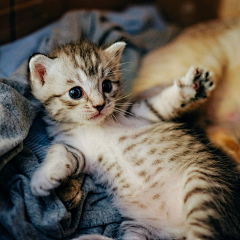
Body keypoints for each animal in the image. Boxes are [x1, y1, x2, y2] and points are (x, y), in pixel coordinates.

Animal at [29, 40, 240, 239]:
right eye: (75, 92)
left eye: (106, 86)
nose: (99, 105)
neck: (95, 126)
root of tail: (176, 229)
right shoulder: (80, 152)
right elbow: (60, 150)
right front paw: (45, 177)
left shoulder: (141, 114)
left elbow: (163, 103)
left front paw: (191, 88)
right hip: (137, 224)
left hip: (202, 187)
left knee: (202, 233)